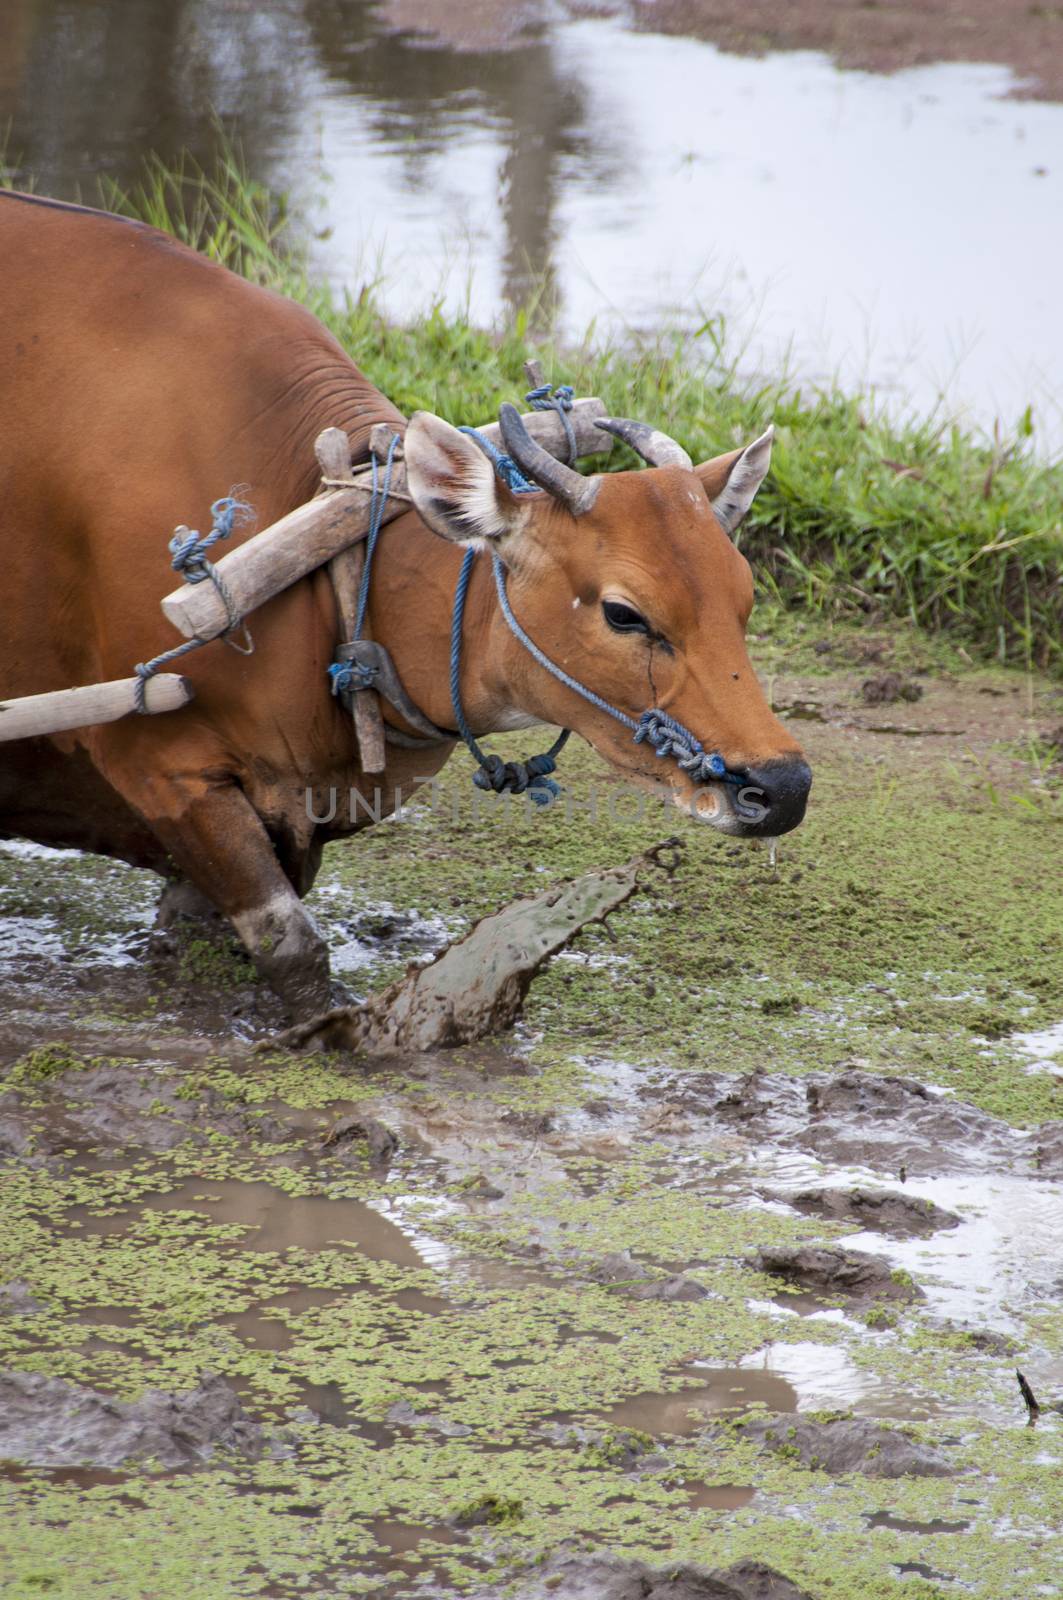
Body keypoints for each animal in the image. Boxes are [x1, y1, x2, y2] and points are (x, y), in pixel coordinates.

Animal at [0, 187, 810, 1011]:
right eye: (623, 613)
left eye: (745, 599)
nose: (782, 787)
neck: (334, 591)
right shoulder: (163, 771)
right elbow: (294, 952)